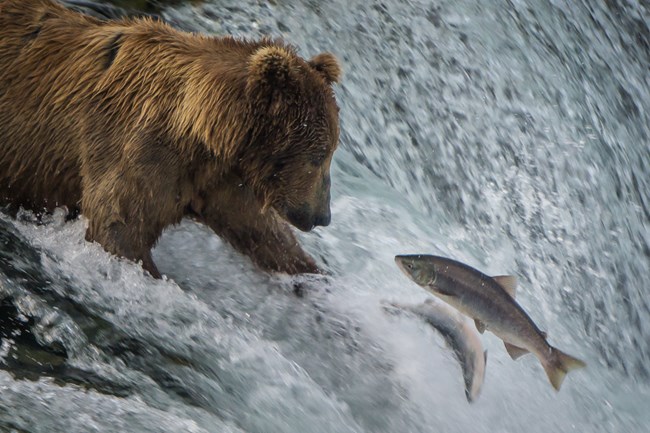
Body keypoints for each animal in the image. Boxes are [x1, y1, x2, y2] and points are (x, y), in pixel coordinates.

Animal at [0, 0, 342, 276]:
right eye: (319, 156)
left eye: (329, 152)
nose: (322, 216)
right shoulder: (135, 143)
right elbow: (117, 226)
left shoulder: (220, 179)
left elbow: (267, 237)